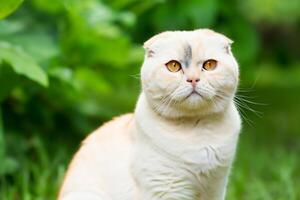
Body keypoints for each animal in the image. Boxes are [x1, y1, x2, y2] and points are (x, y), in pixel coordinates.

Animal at [58, 28, 241, 200]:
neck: (197, 131)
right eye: (173, 66)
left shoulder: (216, 186)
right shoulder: (165, 189)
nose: (193, 79)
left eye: (209, 65)